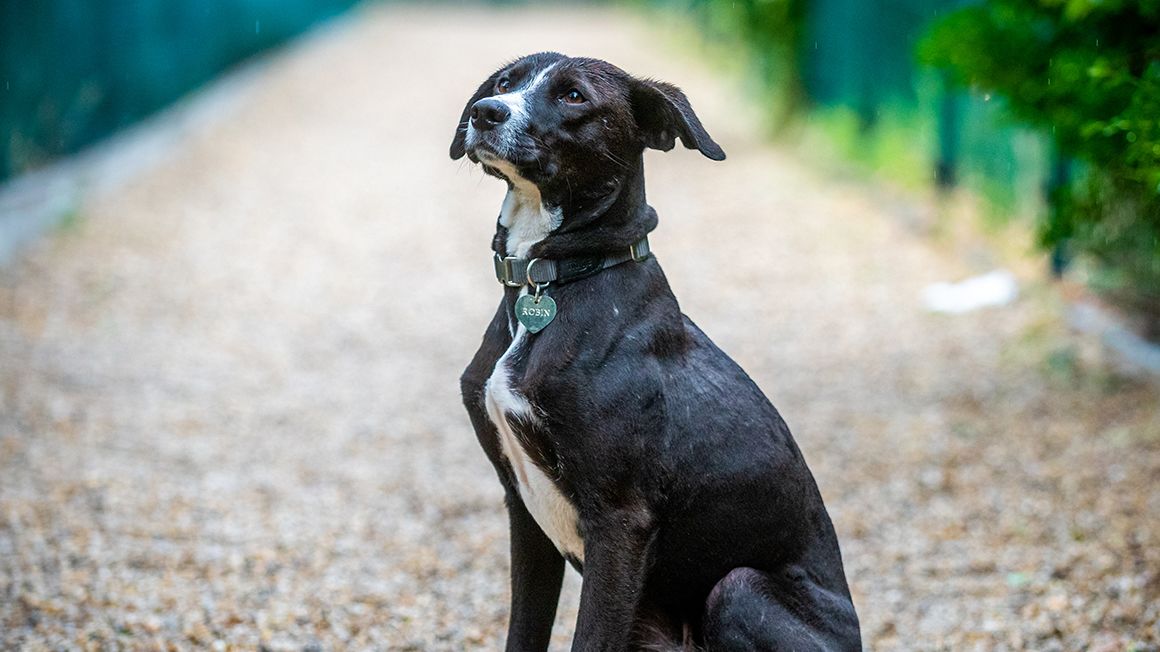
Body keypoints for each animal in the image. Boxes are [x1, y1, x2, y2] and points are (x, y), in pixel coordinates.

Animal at [452, 51, 863, 649]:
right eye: (507, 82)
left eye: (574, 96)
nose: (486, 112)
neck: (548, 281)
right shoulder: (522, 508)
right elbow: (524, 630)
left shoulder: (620, 520)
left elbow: (589, 638)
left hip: (738, 589)